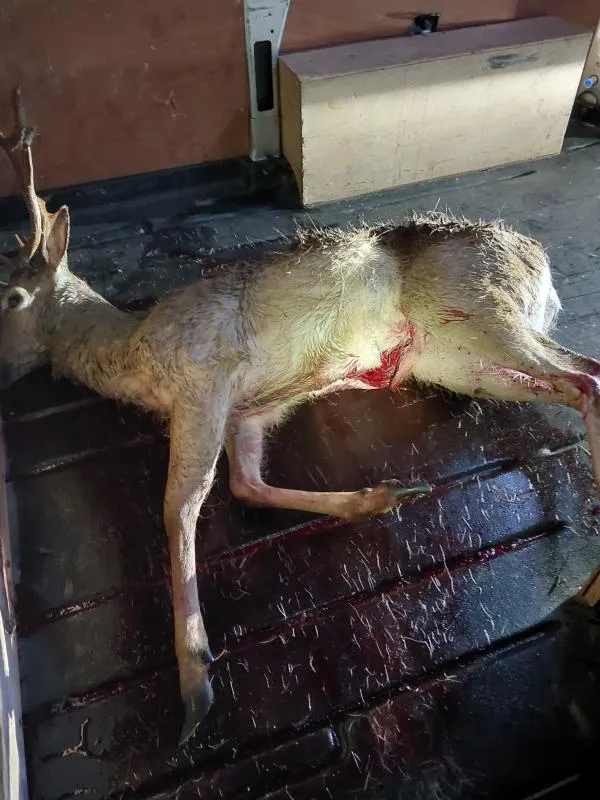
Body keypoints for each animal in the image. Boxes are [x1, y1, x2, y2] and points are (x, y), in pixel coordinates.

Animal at [1, 88, 599, 745]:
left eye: (10, 297)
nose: (0, 371)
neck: (134, 353)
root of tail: (539, 265)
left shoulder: (205, 383)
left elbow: (180, 505)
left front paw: (195, 680)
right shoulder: (247, 414)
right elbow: (247, 484)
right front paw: (379, 497)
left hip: (480, 308)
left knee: (587, 377)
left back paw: (591, 590)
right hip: (454, 358)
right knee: (574, 382)